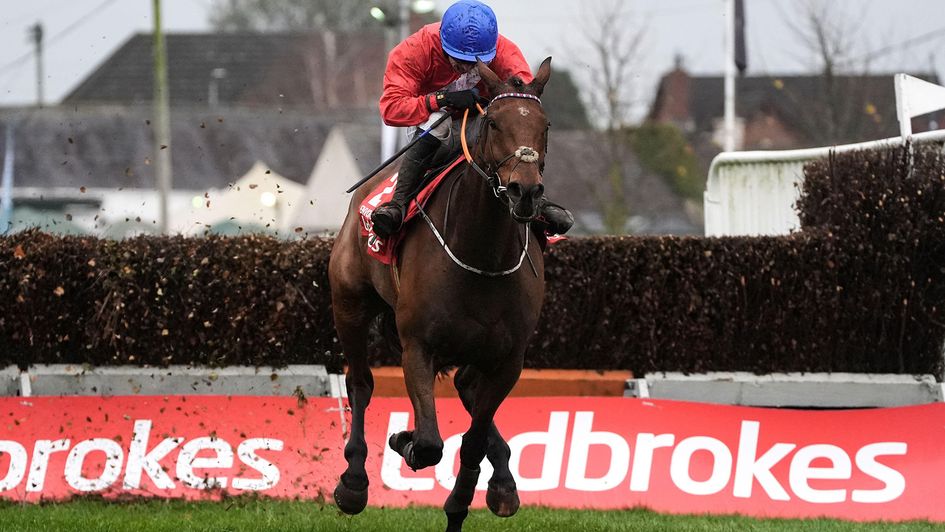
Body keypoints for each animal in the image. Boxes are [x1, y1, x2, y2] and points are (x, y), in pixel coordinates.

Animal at [330, 56, 552, 528]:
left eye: (544, 125)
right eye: (493, 123)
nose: (525, 192)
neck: (482, 256)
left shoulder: (509, 359)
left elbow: (472, 441)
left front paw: (463, 502)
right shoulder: (418, 346)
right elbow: (430, 443)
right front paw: (405, 439)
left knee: (467, 389)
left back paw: (504, 483)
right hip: (349, 304)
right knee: (360, 383)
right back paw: (354, 481)